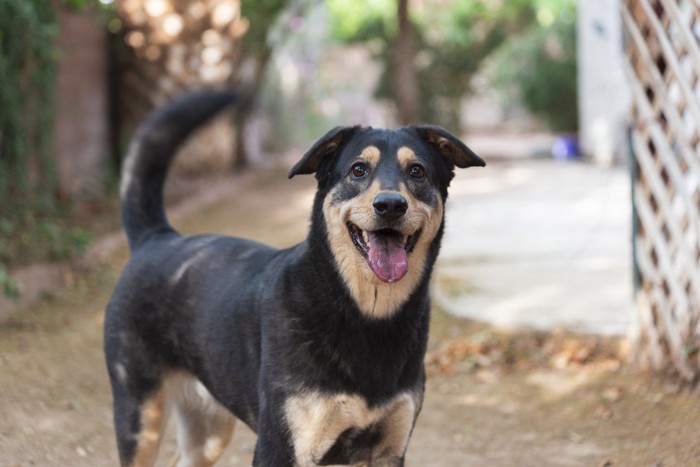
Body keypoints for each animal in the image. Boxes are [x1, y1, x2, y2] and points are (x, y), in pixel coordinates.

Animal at [105, 88, 486, 467]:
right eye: (358, 170)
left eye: (417, 171)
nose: (390, 204)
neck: (363, 312)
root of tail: (158, 237)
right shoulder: (279, 448)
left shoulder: (388, 450)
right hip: (140, 418)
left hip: (208, 432)